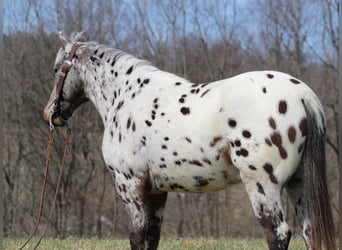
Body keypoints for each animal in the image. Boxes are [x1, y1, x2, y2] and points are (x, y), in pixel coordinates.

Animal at [43, 32, 336, 250]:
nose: (50, 114)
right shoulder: (156, 191)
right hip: (299, 183)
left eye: (57, 69)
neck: (127, 97)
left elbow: (137, 237)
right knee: (309, 231)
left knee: (278, 233)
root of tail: (302, 95)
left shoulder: (131, 186)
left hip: (263, 185)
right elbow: (151, 237)